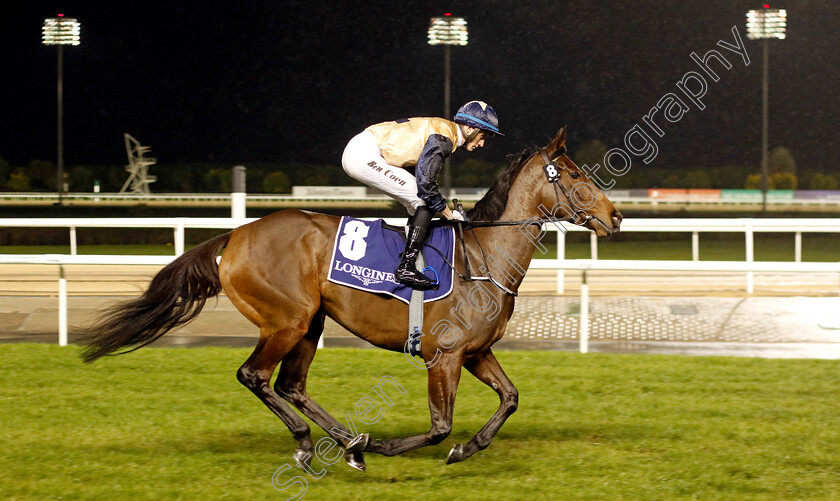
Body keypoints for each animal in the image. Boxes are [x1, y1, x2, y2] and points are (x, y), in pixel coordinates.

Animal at [80, 127, 616, 470]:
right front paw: (397, 447)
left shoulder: (475, 351)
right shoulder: (443, 355)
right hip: (287, 321)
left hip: (311, 321)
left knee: (291, 384)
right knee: (255, 376)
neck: (484, 256)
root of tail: (234, 237)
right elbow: (440, 426)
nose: (615, 216)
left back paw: (349, 442)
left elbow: (510, 398)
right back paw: (313, 442)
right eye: (572, 175)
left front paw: (468, 447)